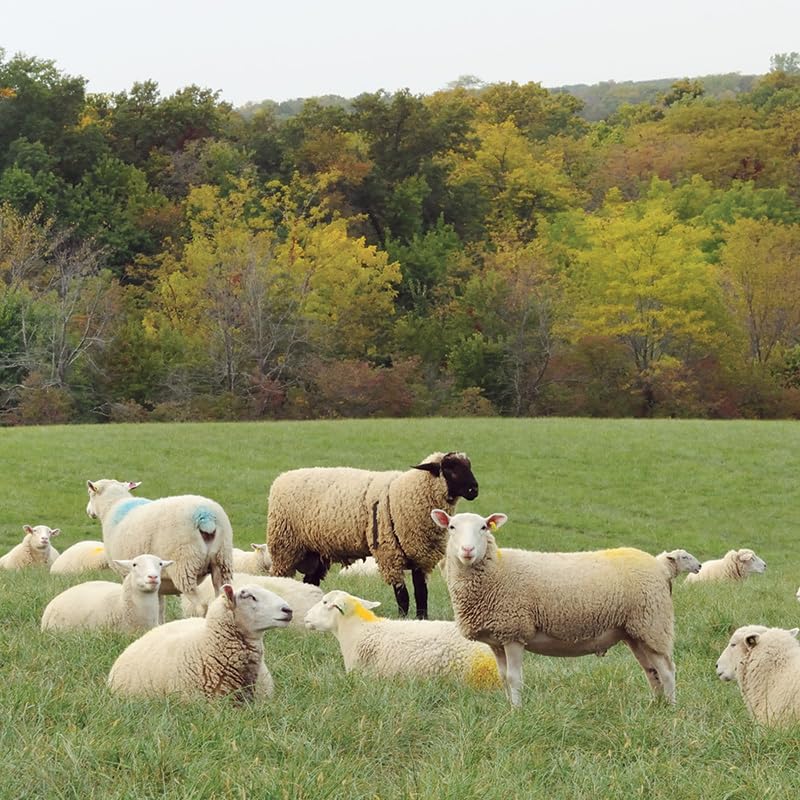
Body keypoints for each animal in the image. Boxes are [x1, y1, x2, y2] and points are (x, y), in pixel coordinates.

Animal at [85, 479, 234, 617]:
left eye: (90, 493)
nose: (88, 511)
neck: (113, 506)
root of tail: (205, 516)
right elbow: (159, 607)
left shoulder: (126, 573)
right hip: (222, 562)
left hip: (184, 564)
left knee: (201, 606)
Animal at [267, 451, 479, 619]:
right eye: (450, 469)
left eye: (468, 466)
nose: (474, 490)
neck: (407, 493)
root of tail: (282, 477)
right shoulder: (390, 555)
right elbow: (403, 596)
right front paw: (402, 619)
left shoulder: (419, 556)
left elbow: (421, 594)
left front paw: (422, 620)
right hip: (284, 547)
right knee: (278, 579)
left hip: (315, 553)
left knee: (310, 582)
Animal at [432, 509, 676, 708]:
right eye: (452, 527)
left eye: (483, 527)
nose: (468, 550)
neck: (497, 570)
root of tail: (660, 565)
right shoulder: (498, 639)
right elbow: (502, 677)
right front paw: (508, 707)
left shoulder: (514, 632)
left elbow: (513, 678)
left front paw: (517, 712)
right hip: (636, 632)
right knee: (651, 671)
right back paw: (655, 706)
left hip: (653, 623)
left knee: (667, 671)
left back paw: (670, 709)